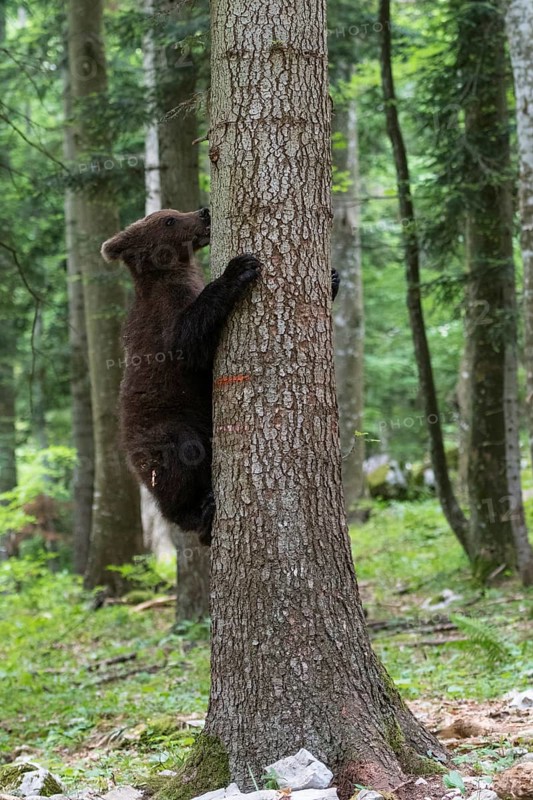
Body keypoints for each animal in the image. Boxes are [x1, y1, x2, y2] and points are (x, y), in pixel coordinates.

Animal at [101, 207, 340, 546]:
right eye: (169, 220)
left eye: (174, 212)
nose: (203, 212)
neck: (171, 273)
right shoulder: (163, 322)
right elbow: (189, 341)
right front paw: (238, 269)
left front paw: (333, 278)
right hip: (162, 431)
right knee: (181, 460)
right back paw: (198, 513)